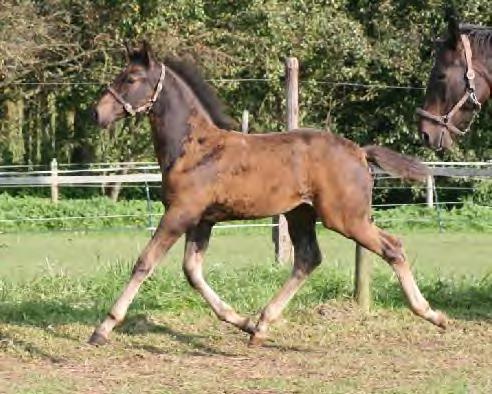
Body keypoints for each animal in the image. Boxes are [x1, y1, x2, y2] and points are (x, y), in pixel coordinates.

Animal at [90, 41, 448, 346]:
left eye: (131, 78)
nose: (98, 113)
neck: (195, 148)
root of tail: (360, 151)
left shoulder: (181, 213)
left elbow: (145, 262)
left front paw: (103, 328)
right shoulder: (203, 220)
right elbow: (192, 271)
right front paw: (243, 321)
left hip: (346, 218)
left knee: (392, 247)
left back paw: (432, 314)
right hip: (300, 214)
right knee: (308, 258)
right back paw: (261, 326)